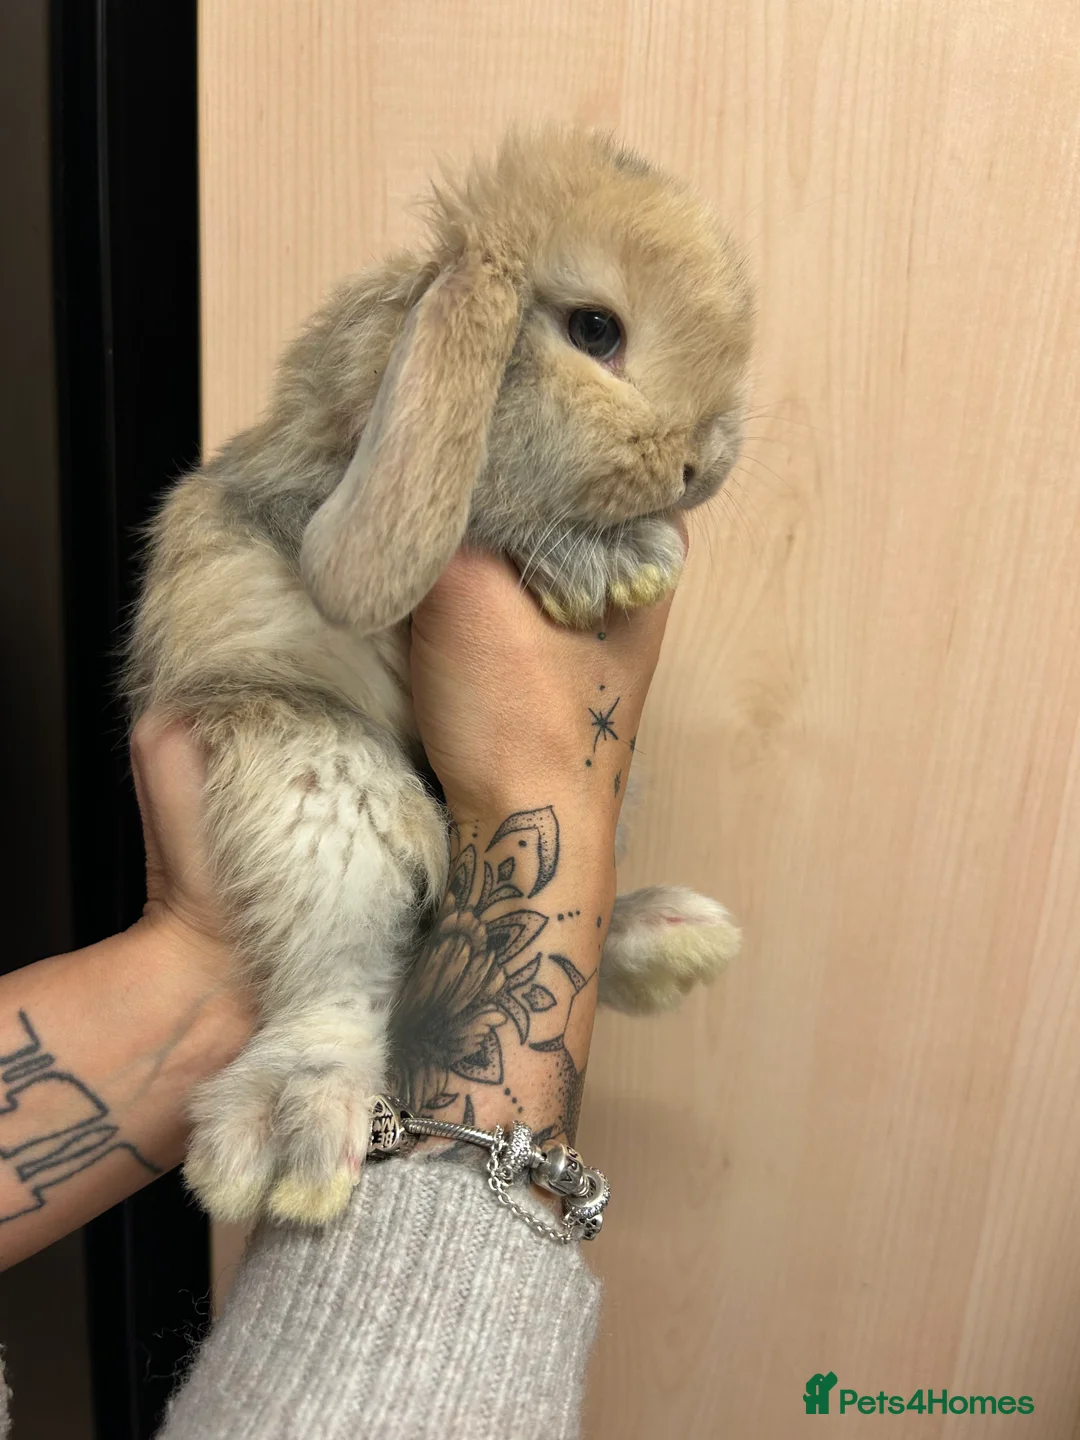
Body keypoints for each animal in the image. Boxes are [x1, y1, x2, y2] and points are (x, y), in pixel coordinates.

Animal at [126, 126, 753, 1227]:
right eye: (596, 329)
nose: (701, 466)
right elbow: (495, 511)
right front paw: (620, 564)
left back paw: (670, 938)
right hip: (323, 778)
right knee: (341, 970)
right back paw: (294, 1127)